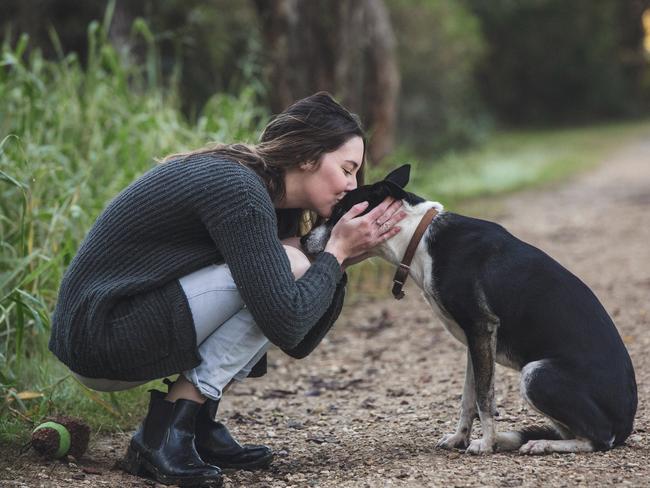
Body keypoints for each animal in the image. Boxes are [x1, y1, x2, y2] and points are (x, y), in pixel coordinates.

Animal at [302, 164, 636, 454]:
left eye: (338, 213)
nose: (303, 240)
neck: (418, 237)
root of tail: (626, 426)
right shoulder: (475, 341)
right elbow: (469, 397)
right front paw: (461, 439)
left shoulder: (480, 327)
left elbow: (485, 399)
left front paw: (485, 444)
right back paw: (512, 439)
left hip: (536, 374)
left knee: (597, 438)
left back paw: (537, 444)